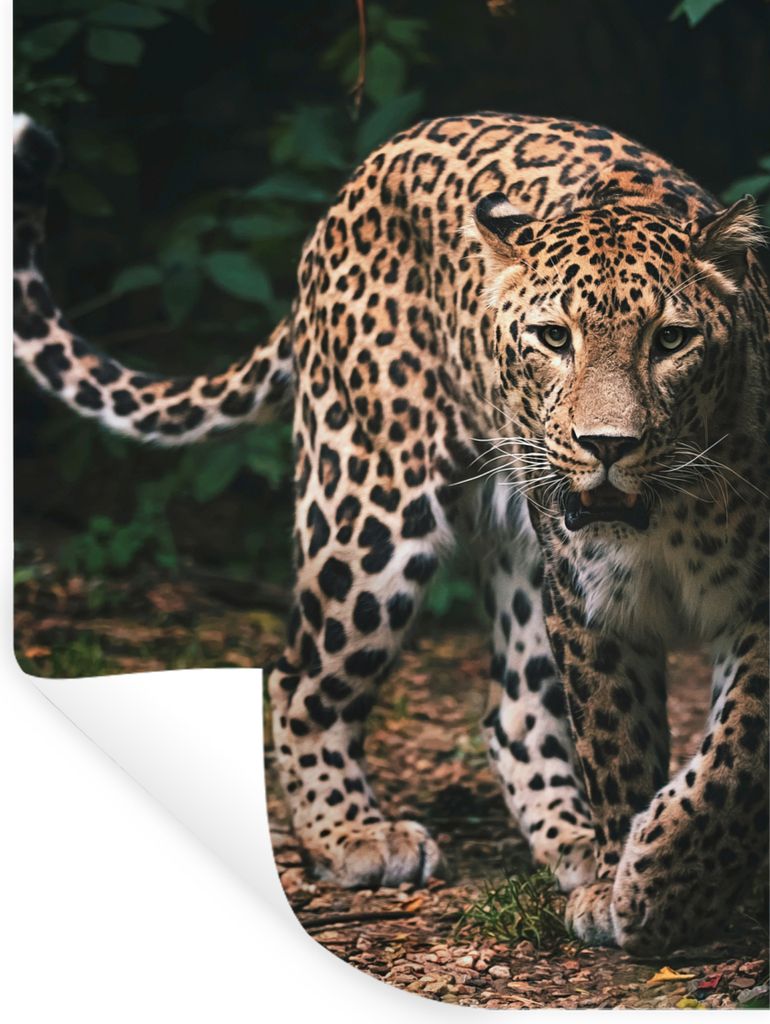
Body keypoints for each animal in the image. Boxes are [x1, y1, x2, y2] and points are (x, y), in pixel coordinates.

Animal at [14, 109, 769, 954]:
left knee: (510, 709)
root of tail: (371, 167)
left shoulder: (756, 603)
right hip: (368, 507)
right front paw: (633, 887)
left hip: (511, 550)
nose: (607, 445)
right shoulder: (590, 606)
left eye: (671, 341)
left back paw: (568, 844)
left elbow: (737, 755)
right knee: (298, 677)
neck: (667, 513)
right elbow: (619, 749)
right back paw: (357, 836)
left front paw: (666, 880)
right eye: (553, 338)